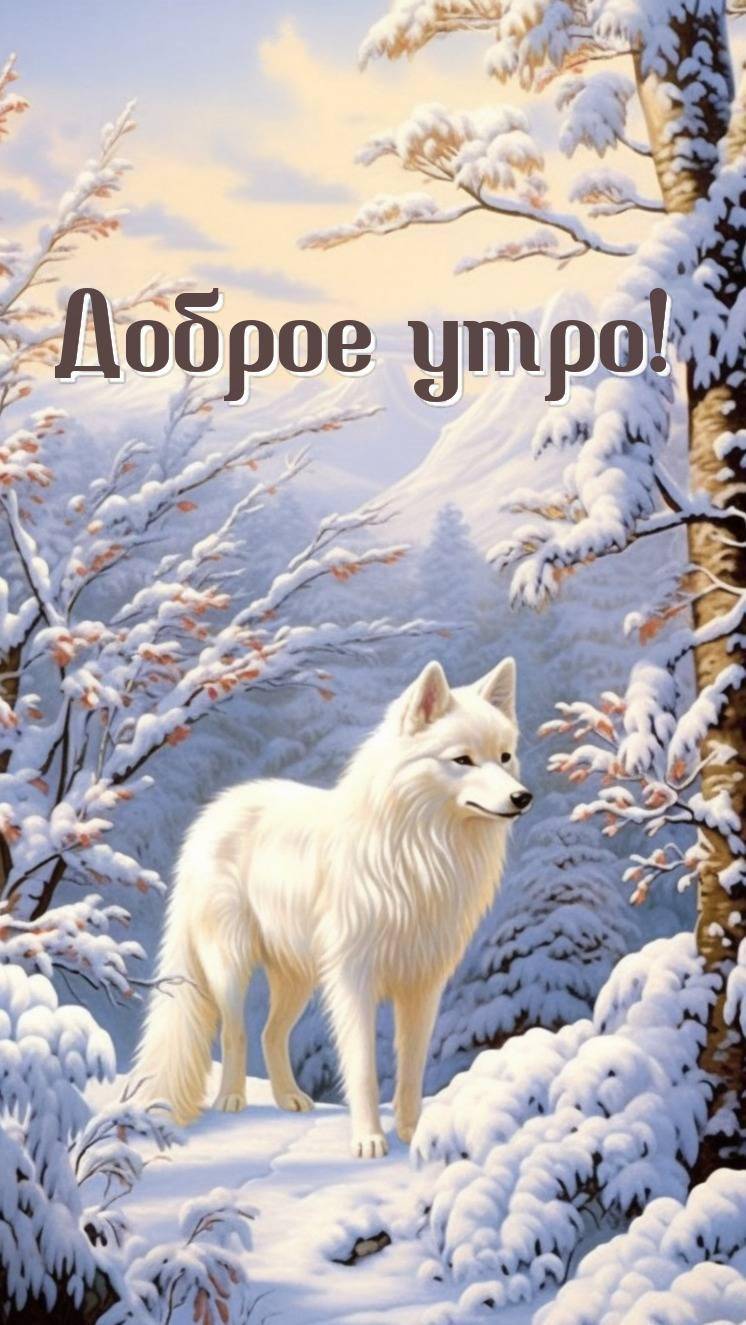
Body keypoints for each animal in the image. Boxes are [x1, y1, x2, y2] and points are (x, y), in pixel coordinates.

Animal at [134, 657, 532, 1158]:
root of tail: (214, 811)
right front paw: (368, 1140)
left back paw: (289, 1098)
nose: (522, 798)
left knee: (270, 1033)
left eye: (505, 756)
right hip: (231, 964)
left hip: (299, 978)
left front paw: (412, 1133)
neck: (420, 852)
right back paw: (231, 1099)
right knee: (234, 1031)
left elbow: (411, 1067)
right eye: (462, 760)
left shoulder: (422, 987)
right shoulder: (353, 982)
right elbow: (362, 1069)